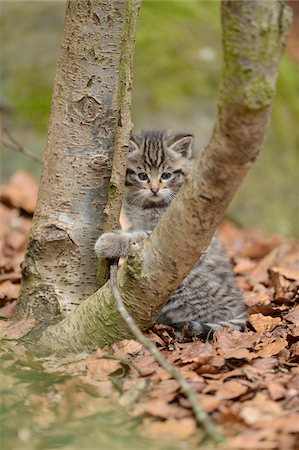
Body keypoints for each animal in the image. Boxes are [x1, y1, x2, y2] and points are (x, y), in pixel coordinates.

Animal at [95, 130, 247, 338]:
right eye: (142, 176)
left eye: (166, 175)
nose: (154, 189)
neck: (150, 206)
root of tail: (241, 308)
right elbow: (133, 230)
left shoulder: (167, 232)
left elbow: (138, 237)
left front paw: (109, 241)